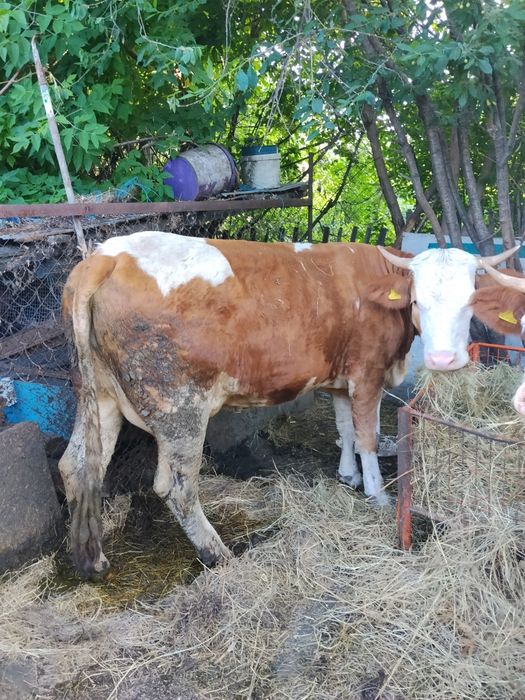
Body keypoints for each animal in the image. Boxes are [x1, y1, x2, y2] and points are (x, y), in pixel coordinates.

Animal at [58, 231, 518, 578]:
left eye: (471, 300)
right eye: (418, 300)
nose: (444, 360)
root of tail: (107, 255)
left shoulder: (339, 379)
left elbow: (345, 428)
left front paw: (348, 475)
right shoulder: (367, 372)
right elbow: (368, 434)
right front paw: (377, 495)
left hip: (98, 395)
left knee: (76, 465)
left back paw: (90, 559)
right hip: (179, 406)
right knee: (176, 485)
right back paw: (217, 552)